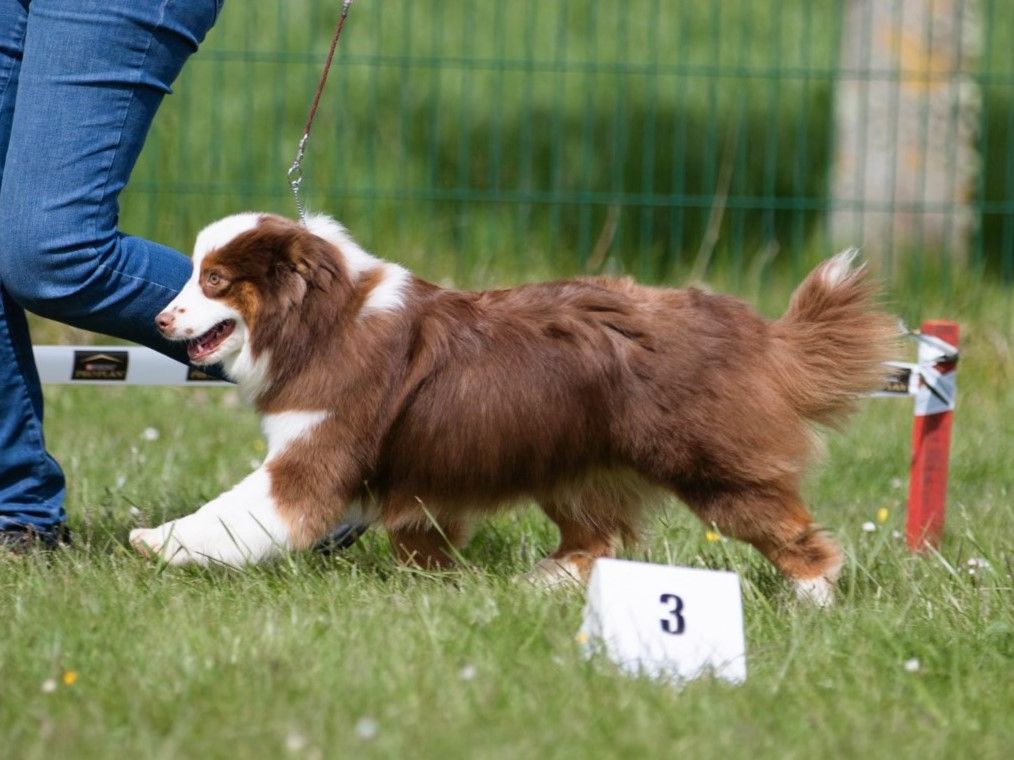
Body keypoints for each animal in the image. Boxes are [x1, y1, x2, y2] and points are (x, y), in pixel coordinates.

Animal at [132, 212, 896, 608]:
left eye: (214, 279)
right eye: (191, 273)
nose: (161, 318)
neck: (323, 318)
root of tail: (756, 331)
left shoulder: (315, 452)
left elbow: (239, 510)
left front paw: (157, 542)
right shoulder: (422, 475)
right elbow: (421, 538)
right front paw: (433, 589)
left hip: (709, 465)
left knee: (790, 532)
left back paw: (813, 599)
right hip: (574, 465)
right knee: (596, 538)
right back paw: (538, 585)